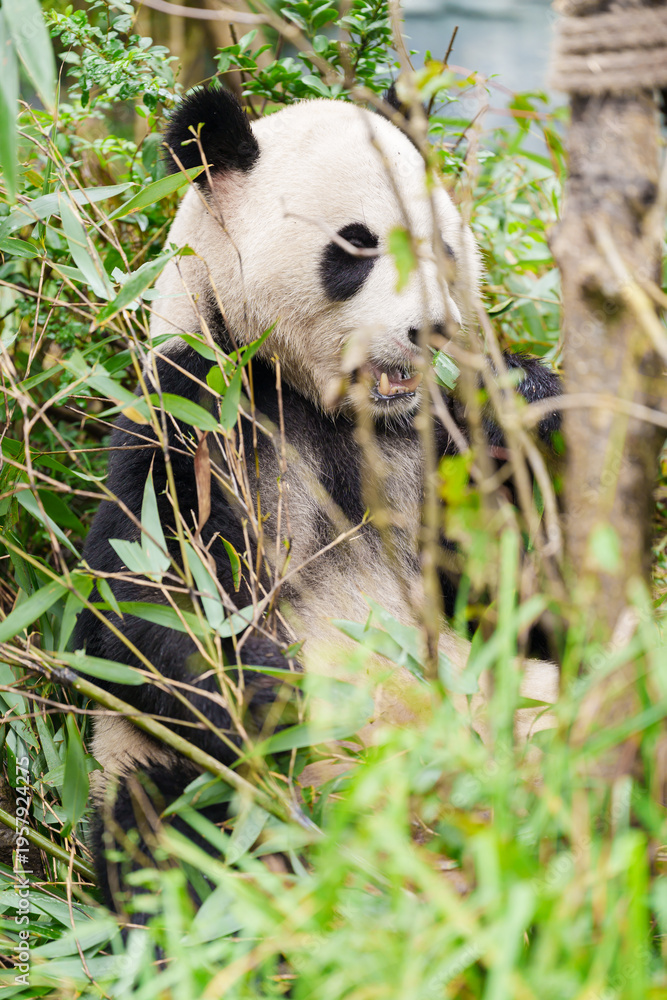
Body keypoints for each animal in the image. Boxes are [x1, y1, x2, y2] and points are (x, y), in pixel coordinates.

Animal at [73, 86, 562, 917]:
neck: (333, 408)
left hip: (523, 712)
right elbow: (134, 608)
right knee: (170, 832)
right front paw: (277, 694)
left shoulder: (432, 444)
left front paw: (526, 397)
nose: (430, 329)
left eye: (444, 247)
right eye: (355, 247)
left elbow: (508, 589)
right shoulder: (197, 415)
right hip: (191, 782)